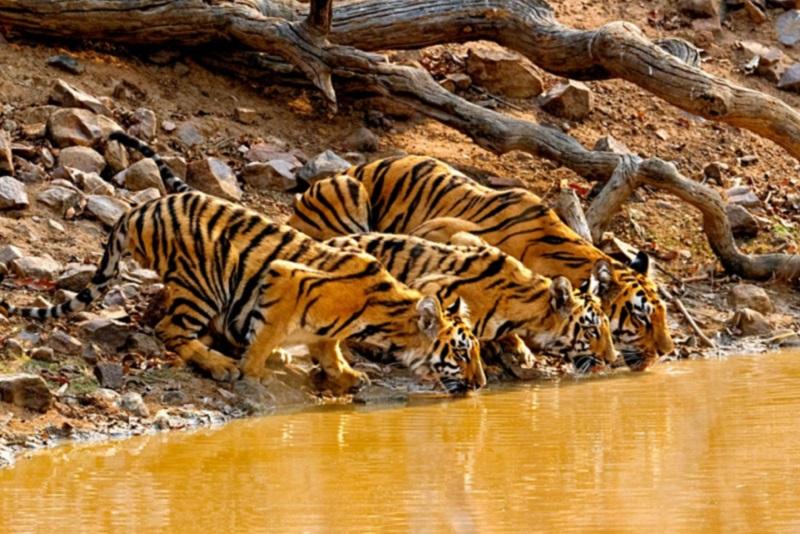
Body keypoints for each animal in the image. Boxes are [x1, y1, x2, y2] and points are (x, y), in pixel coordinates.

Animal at [1, 157, 482, 396]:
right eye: (460, 353)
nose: (480, 383)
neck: (383, 316)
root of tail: (137, 210)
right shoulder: (286, 280)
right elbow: (267, 335)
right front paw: (254, 371)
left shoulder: (325, 330)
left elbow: (328, 347)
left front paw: (346, 374)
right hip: (202, 284)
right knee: (169, 329)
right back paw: (223, 364)